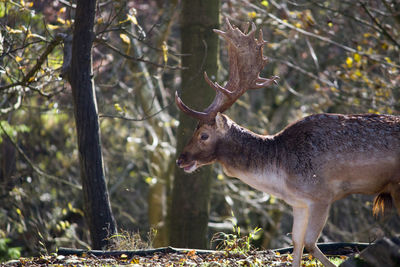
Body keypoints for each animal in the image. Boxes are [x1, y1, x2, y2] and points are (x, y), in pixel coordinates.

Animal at [175, 19, 400, 267]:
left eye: (203, 135)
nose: (180, 160)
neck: (281, 175)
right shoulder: (299, 203)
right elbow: (297, 242)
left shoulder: (322, 195)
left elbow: (311, 242)